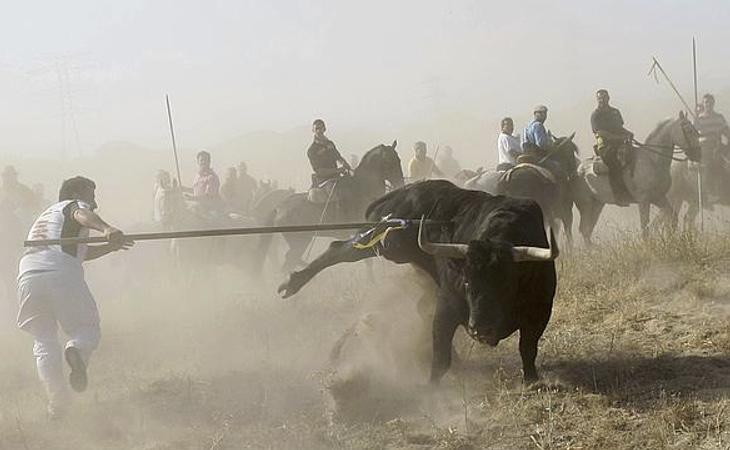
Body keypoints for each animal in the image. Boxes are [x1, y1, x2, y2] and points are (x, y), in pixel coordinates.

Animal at [256, 141, 404, 270]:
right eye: (389, 162)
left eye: (399, 160)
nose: (400, 183)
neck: (362, 189)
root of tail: (278, 208)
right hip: (299, 243)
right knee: (288, 263)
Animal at [278, 181, 556, 384]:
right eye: (466, 282)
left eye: (506, 284)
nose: (480, 329)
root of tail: (403, 192)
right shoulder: (447, 306)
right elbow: (440, 355)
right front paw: (432, 389)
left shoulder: (541, 311)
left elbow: (527, 348)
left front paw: (532, 379)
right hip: (390, 242)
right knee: (340, 249)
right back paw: (292, 283)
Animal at [572, 111, 696, 244]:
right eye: (689, 130)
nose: (698, 154)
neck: (652, 161)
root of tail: (577, 170)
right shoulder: (643, 200)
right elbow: (645, 229)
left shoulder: (659, 198)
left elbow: (672, 217)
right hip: (586, 205)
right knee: (585, 229)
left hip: (598, 204)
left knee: (587, 230)